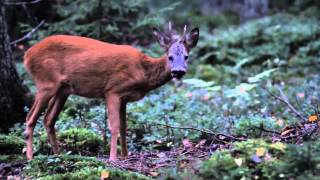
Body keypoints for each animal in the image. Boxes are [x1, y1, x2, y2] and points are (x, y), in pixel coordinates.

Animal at [23, 23, 198, 160]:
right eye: (170, 57)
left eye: (186, 56)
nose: (178, 72)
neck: (142, 72)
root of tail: (27, 55)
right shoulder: (112, 90)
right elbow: (114, 126)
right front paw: (113, 158)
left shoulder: (125, 98)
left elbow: (124, 126)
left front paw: (125, 155)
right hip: (46, 83)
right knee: (30, 117)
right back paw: (30, 157)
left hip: (63, 90)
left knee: (48, 119)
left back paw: (58, 154)